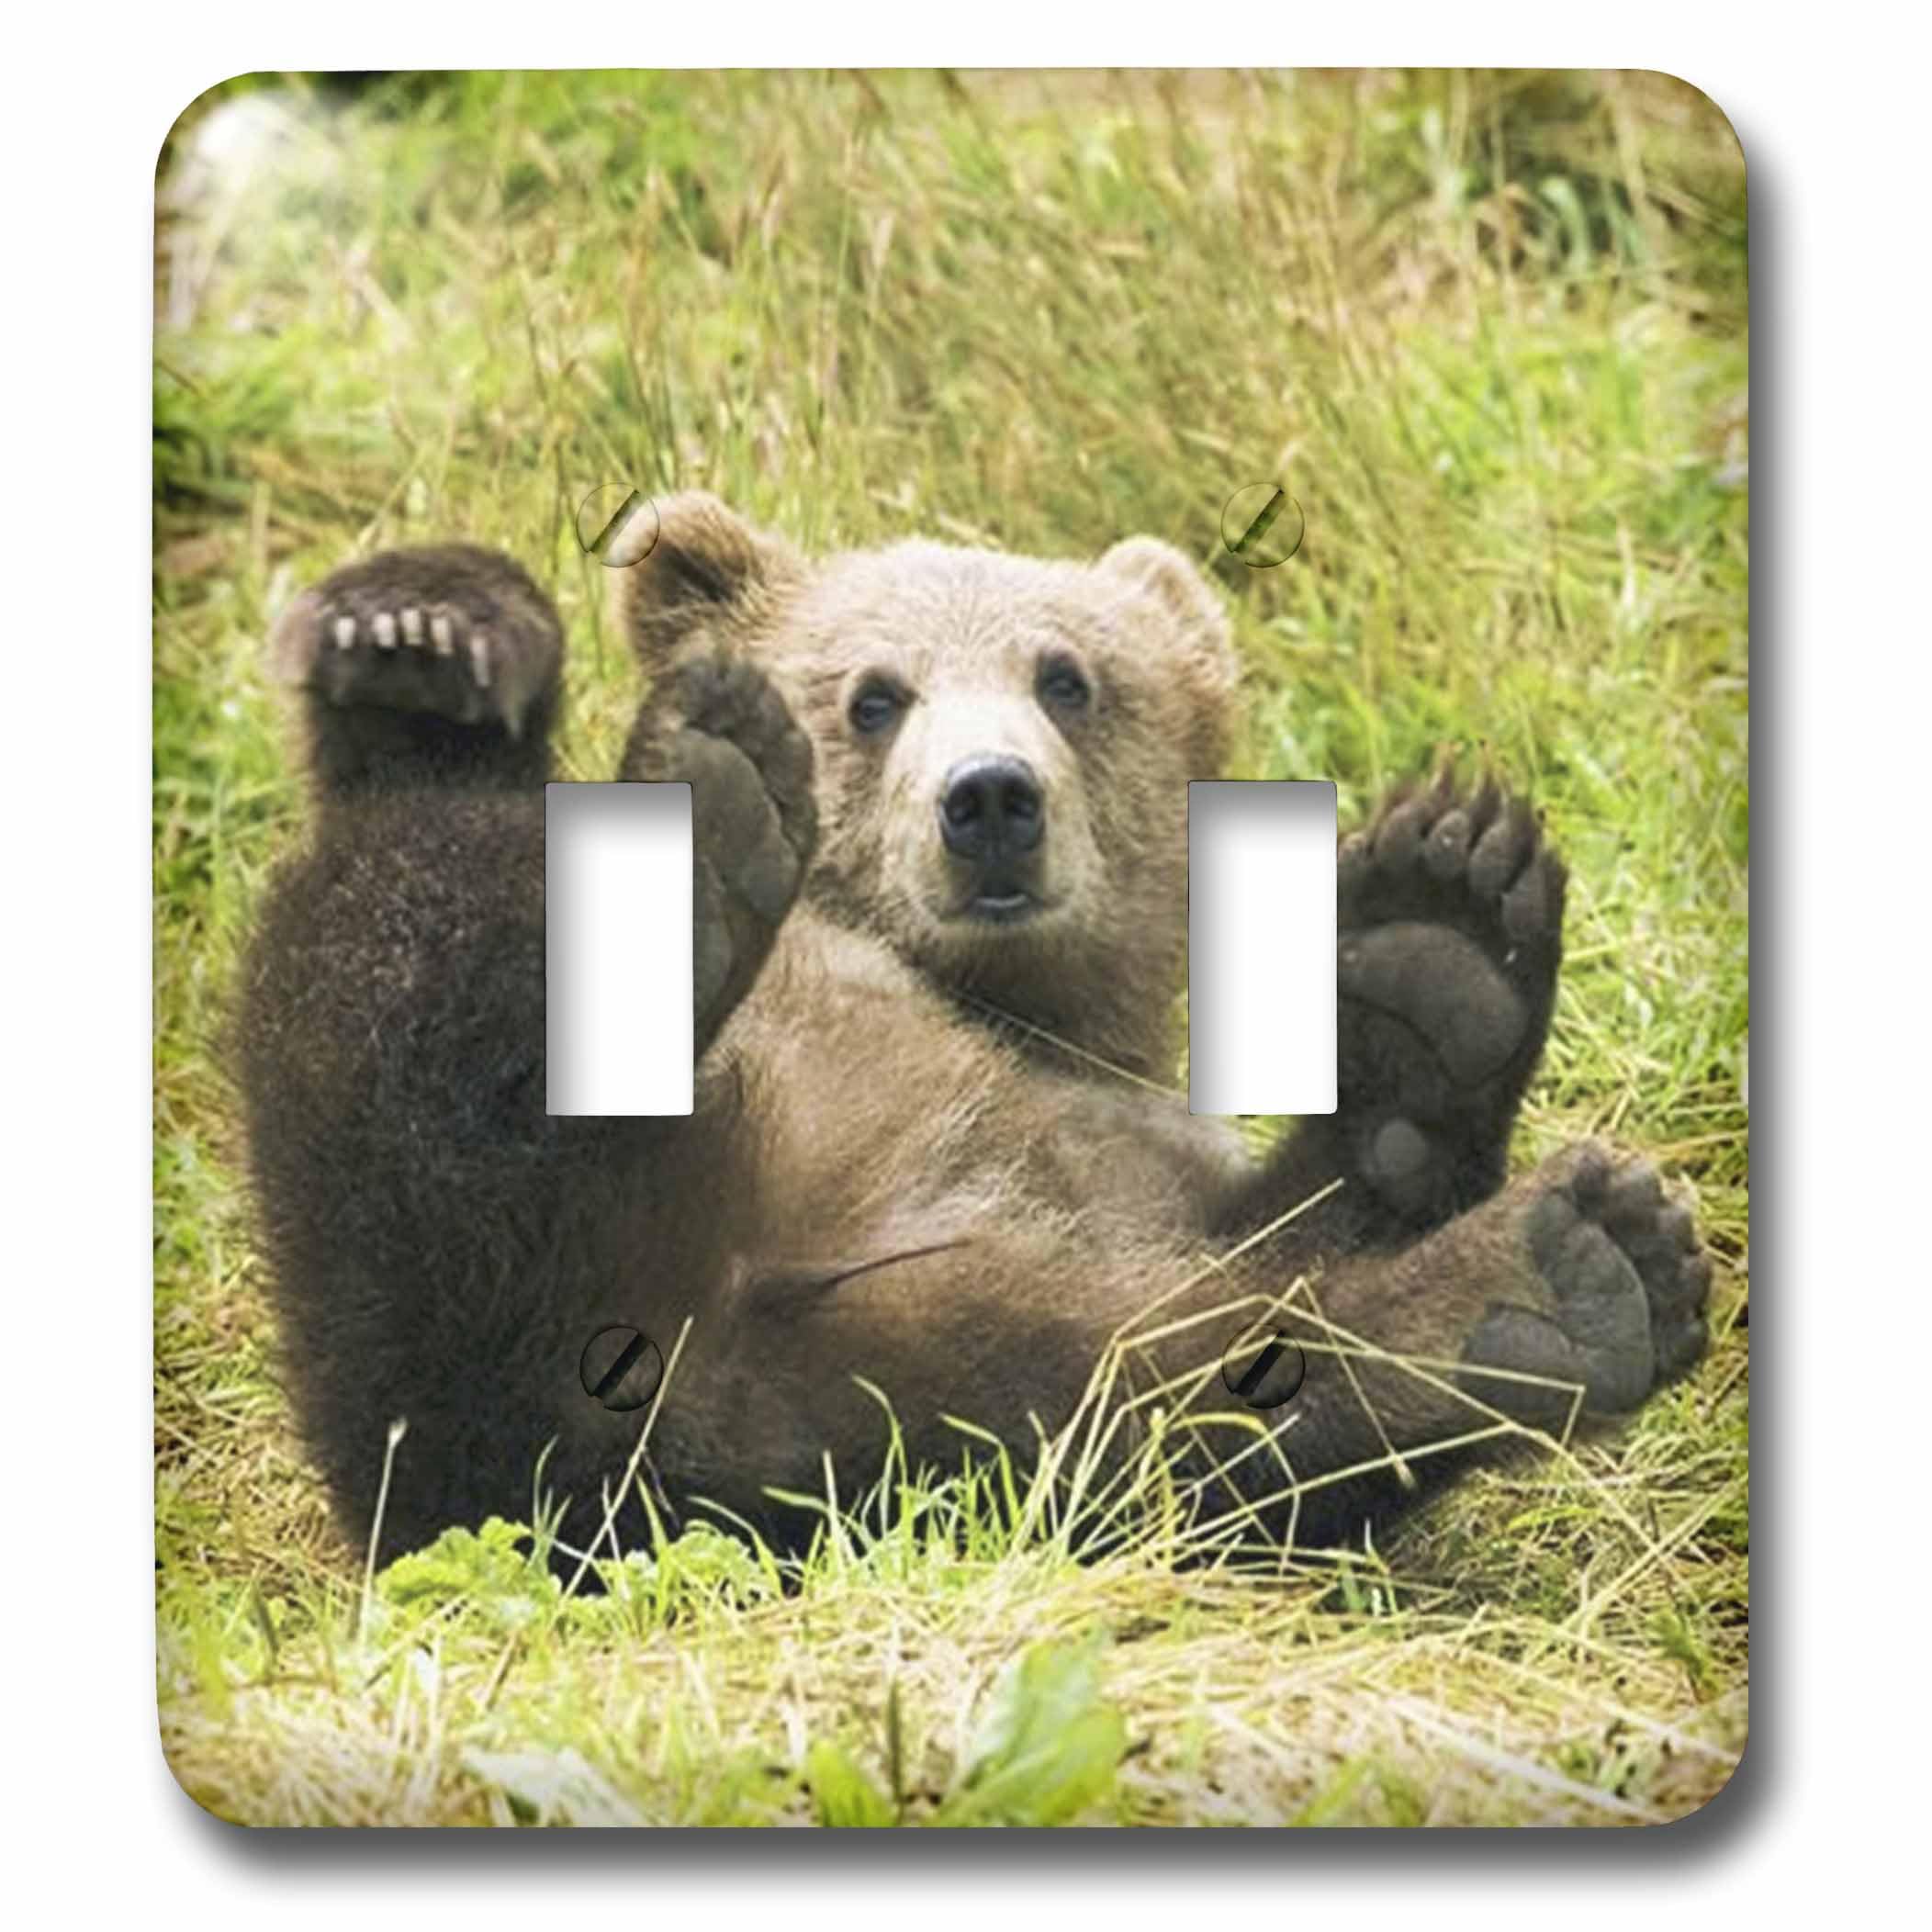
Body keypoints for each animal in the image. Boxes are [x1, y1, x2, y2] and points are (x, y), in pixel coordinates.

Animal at [239, 494, 1711, 1567]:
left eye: (1068, 678)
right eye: (874, 693)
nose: (990, 798)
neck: (999, 1000)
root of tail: (672, 1363)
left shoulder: (1122, 1160)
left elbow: (1290, 1240)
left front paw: (1439, 937)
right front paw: (420, 626)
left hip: (881, 1388)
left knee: (1147, 1404)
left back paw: (1551, 1270)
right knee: (404, 973)